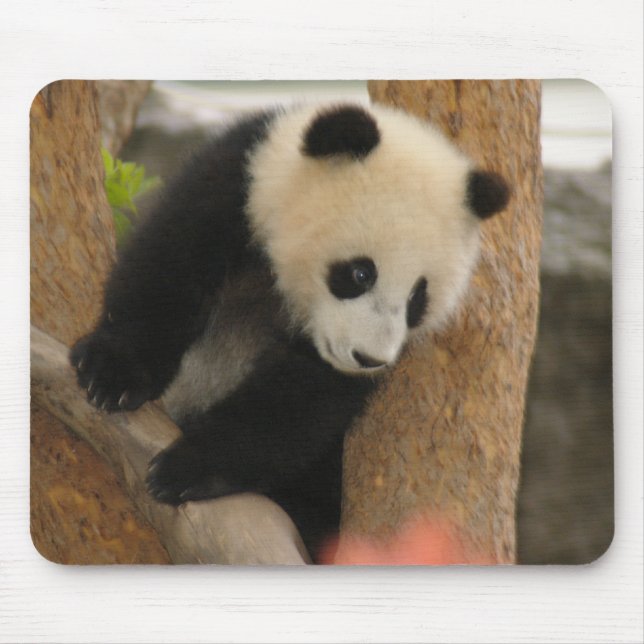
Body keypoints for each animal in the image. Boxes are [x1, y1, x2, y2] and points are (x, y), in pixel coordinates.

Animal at [70, 103, 509, 559]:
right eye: (360, 272)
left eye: (417, 298)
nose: (368, 358)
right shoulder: (238, 181)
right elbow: (168, 266)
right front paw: (111, 376)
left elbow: (300, 399)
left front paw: (187, 468)